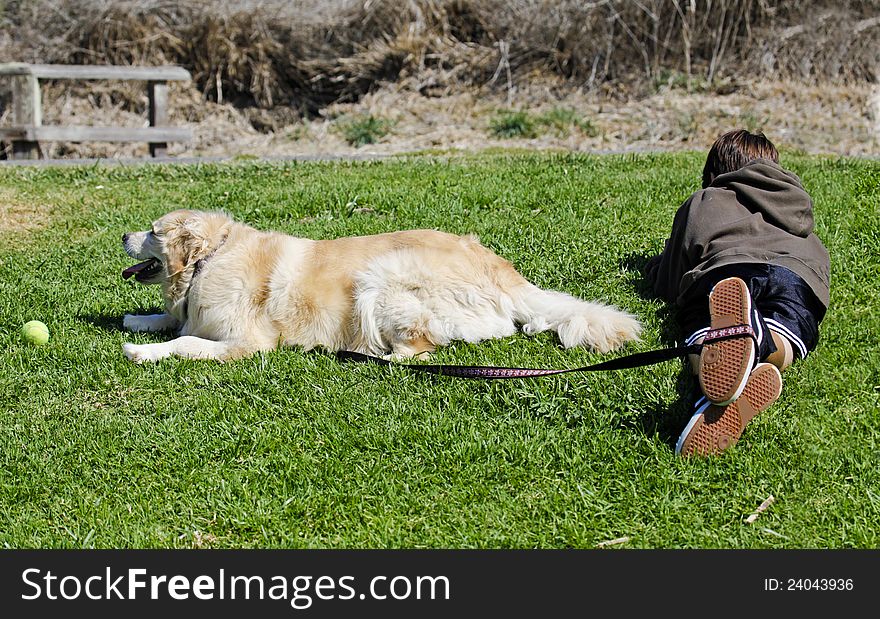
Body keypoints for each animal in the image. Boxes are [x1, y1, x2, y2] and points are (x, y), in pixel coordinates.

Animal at [120, 208, 640, 364]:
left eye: (152, 230)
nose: (121, 235)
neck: (209, 260)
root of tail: (499, 270)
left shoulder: (247, 342)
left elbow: (186, 341)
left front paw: (142, 351)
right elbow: (170, 320)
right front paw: (136, 321)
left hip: (381, 278)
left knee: (422, 346)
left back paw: (375, 356)